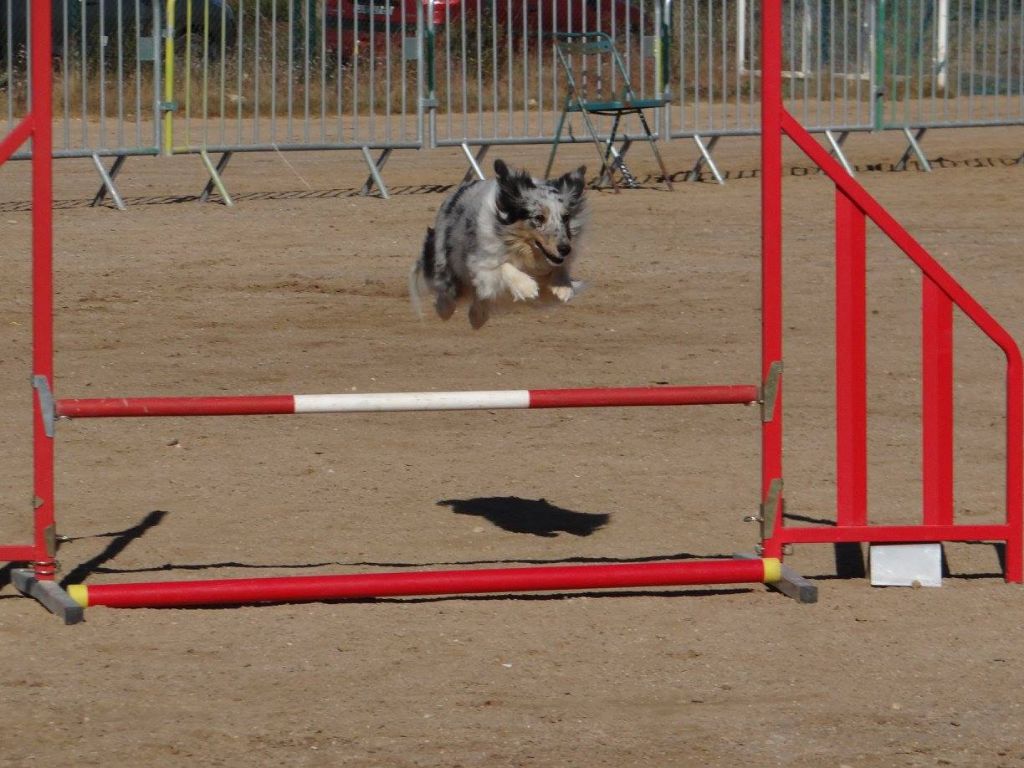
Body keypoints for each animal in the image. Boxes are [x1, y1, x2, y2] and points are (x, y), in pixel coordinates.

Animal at [405, 160, 585, 329]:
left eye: (566, 217)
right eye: (539, 217)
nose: (565, 249)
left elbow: (558, 266)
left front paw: (563, 286)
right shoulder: (478, 256)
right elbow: (502, 266)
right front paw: (526, 287)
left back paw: (477, 316)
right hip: (445, 256)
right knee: (448, 290)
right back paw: (446, 308)